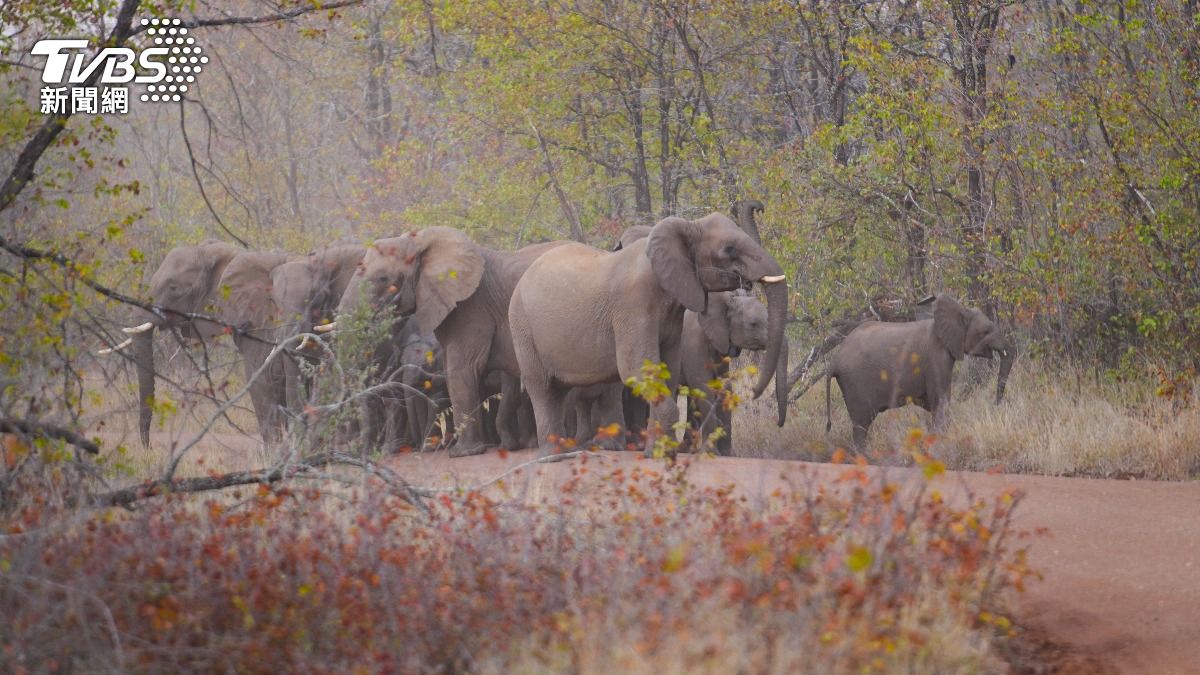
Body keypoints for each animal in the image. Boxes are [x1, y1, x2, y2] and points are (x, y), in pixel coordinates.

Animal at [332, 228, 566, 456]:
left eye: (382, 278)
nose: (414, 448)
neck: (420, 241)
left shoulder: (472, 307)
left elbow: (461, 369)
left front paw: (463, 453)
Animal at [677, 289, 768, 456]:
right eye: (753, 324)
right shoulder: (693, 345)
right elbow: (704, 387)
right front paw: (711, 453)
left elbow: (724, 386)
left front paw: (728, 454)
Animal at [819, 294, 1014, 447]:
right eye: (986, 331)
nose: (996, 405)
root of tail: (834, 361)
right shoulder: (936, 357)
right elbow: (941, 401)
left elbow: (930, 403)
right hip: (856, 383)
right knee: (861, 425)